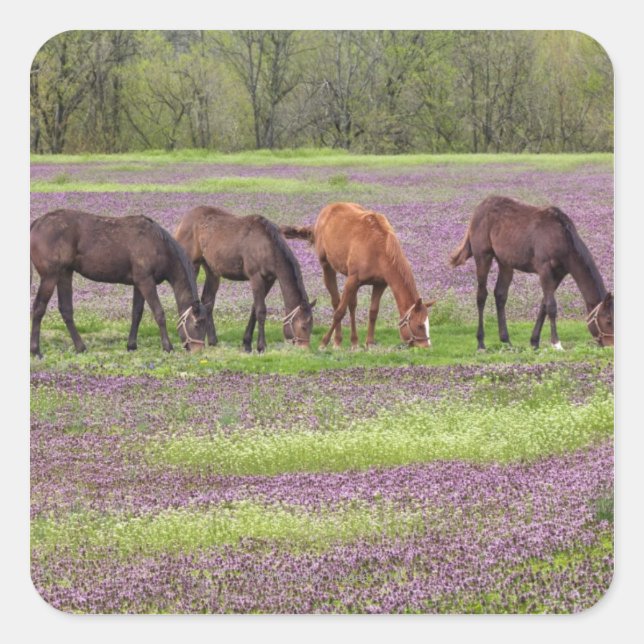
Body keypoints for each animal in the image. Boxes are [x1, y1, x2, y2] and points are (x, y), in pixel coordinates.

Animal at [30, 210, 207, 357]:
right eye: (197, 324)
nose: (198, 350)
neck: (158, 245)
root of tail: (37, 223)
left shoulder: (139, 284)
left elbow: (137, 313)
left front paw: (131, 345)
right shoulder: (146, 282)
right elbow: (159, 313)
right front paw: (168, 346)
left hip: (65, 273)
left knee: (66, 310)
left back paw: (80, 347)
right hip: (50, 276)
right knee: (39, 308)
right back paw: (36, 350)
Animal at [174, 206, 316, 353]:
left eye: (312, 327)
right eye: (303, 326)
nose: (305, 349)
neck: (268, 245)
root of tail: (184, 220)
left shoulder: (269, 280)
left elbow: (254, 309)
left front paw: (247, 343)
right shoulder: (255, 277)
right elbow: (261, 311)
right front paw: (261, 346)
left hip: (212, 271)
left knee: (208, 301)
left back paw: (212, 340)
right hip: (193, 264)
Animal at [281, 202, 435, 349]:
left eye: (428, 325)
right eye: (419, 325)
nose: (426, 346)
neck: (378, 248)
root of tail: (327, 210)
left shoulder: (379, 284)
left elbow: (373, 312)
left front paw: (369, 343)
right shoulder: (352, 280)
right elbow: (339, 312)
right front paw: (324, 342)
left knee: (352, 306)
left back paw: (354, 342)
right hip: (328, 267)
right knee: (336, 302)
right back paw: (337, 341)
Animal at [450, 195, 614, 350]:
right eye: (608, 321)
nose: (610, 347)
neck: (561, 237)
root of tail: (480, 208)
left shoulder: (558, 274)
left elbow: (543, 305)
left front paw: (534, 342)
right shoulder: (544, 270)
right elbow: (551, 306)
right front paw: (556, 344)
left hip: (505, 263)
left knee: (500, 295)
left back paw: (506, 341)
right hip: (483, 256)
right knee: (481, 295)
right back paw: (481, 343)